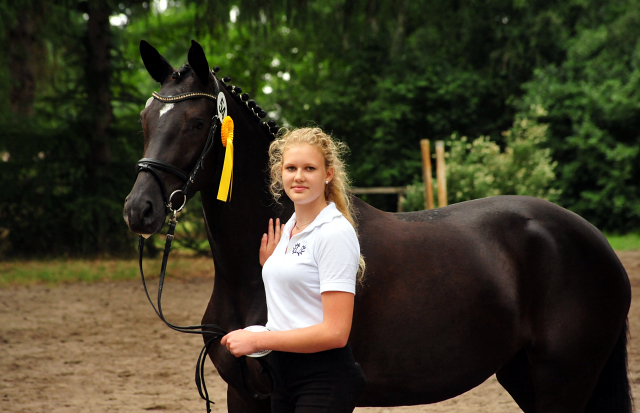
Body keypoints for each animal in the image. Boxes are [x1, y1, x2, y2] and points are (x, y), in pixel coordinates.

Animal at [122, 41, 632, 412]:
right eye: (146, 119)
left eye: (196, 122)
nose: (139, 210)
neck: (249, 276)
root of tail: (597, 243)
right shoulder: (244, 395)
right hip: (524, 374)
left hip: (561, 380)